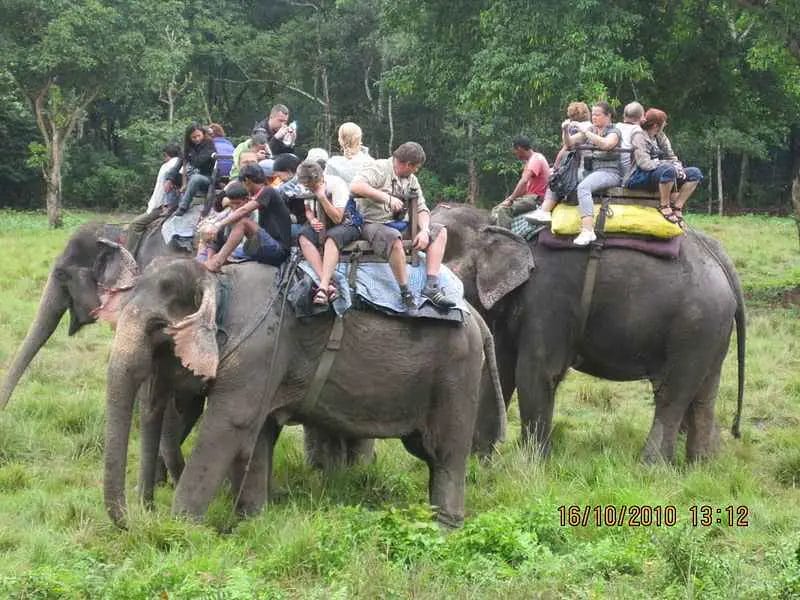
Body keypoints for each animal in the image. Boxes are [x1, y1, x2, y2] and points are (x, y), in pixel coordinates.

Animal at [103, 257, 506, 527]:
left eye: (158, 330)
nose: (139, 515)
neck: (218, 279)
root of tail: (474, 314)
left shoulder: (260, 349)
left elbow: (229, 425)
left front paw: (181, 531)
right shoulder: (266, 361)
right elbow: (259, 432)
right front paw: (251, 521)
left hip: (457, 372)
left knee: (446, 451)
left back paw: (445, 527)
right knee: (428, 451)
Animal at [431, 204, 745, 464]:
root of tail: (721, 262)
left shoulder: (548, 299)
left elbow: (536, 374)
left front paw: (530, 468)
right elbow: (500, 370)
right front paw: (478, 463)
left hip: (694, 325)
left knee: (672, 393)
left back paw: (651, 466)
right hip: (712, 330)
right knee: (704, 394)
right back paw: (699, 465)